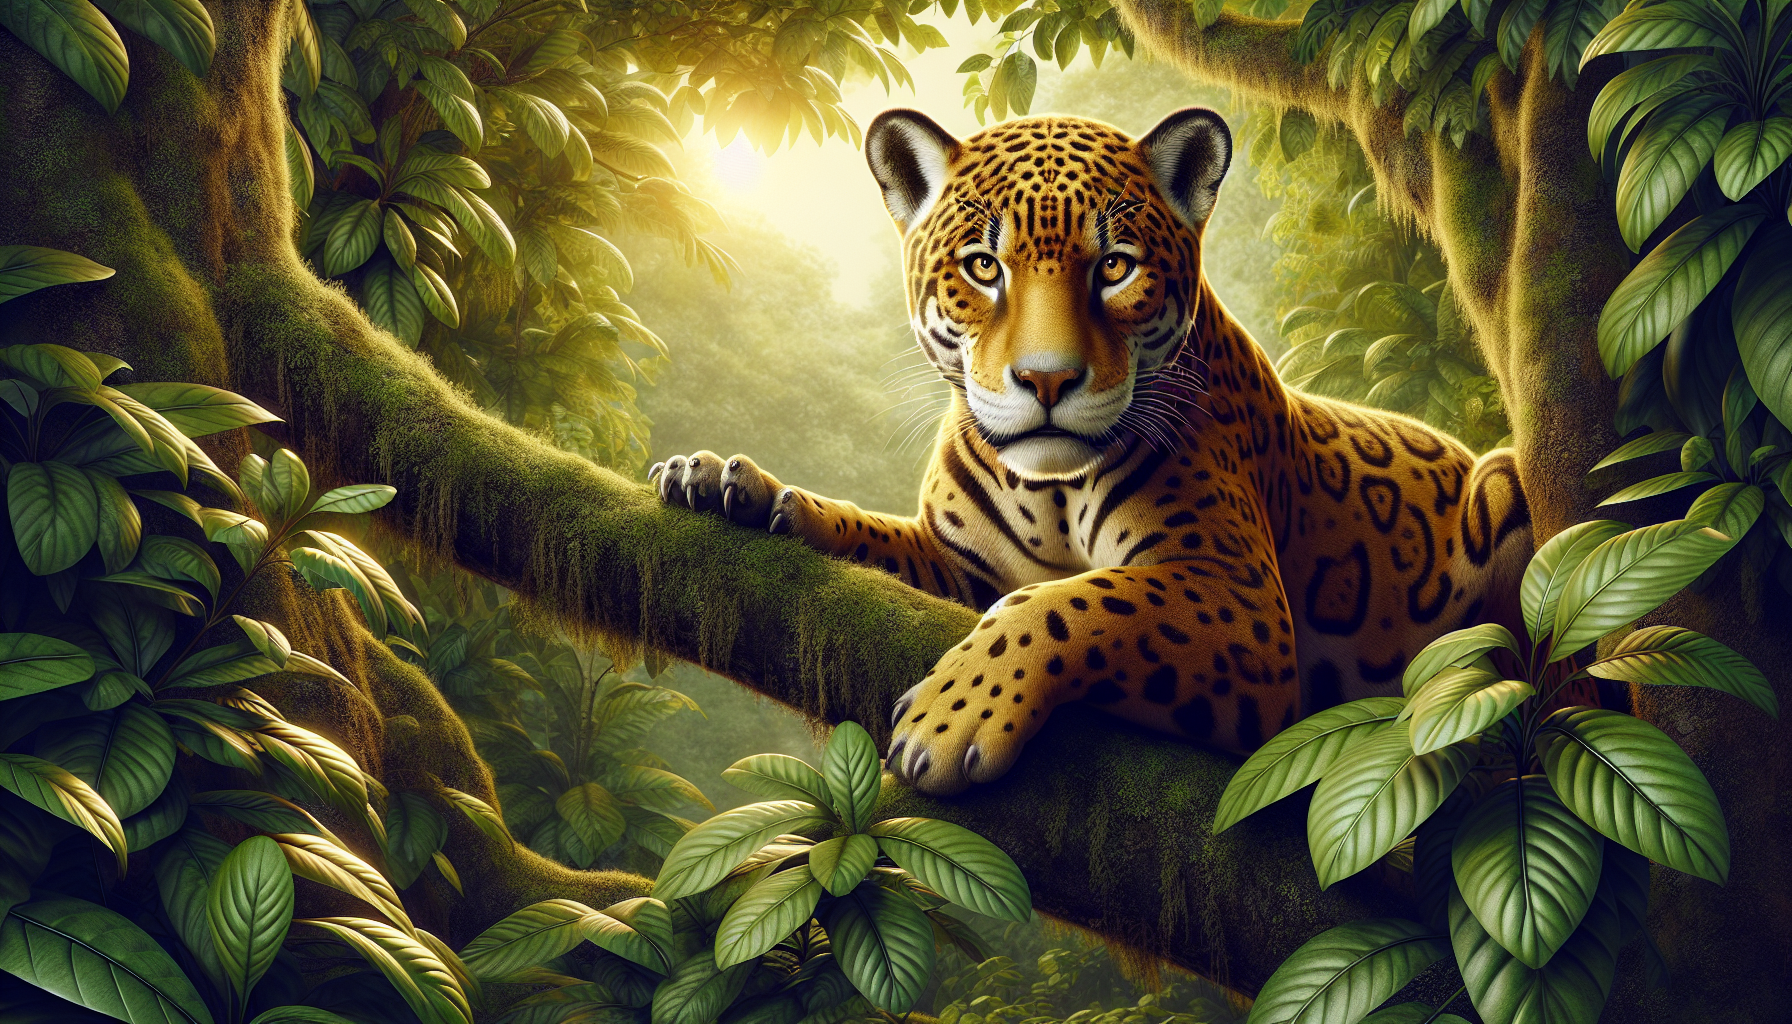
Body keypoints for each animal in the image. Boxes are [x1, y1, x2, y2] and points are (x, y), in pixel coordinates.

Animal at [653, 106, 1532, 796]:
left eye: (1114, 267)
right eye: (983, 266)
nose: (1047, 378)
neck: (1046, 492)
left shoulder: (1240, 597)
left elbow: (1076, 602)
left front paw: (950, 719)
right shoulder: (962, 568)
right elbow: (874, 537)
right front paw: (729, 485)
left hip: (1502, 481)